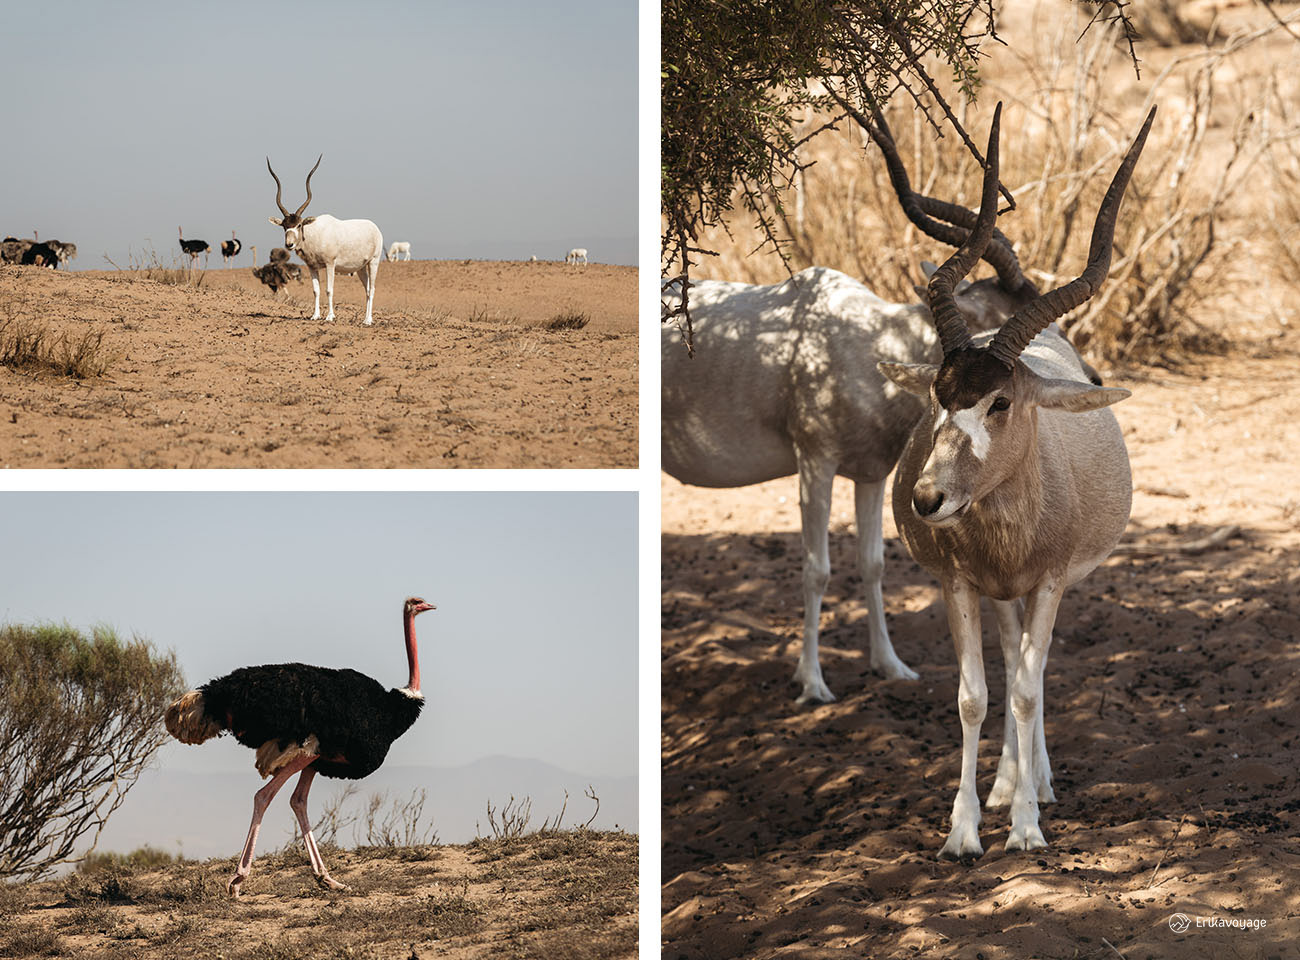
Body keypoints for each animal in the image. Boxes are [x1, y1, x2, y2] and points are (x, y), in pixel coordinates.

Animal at [265, 153, 382, 325]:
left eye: (299, 224)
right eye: (284, 226)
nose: (289, 244)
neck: (314, 235)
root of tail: (374, 228)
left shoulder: (330, 264)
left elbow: (329, 290)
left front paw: (330, 316)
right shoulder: (312, 266)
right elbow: (316, 290)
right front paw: (315, 315)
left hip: (373, 262)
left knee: (372, 289)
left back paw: (367, 321)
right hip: (360, 267)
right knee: (367, 288)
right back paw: (366, 318)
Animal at [665, 111, 1071, 702]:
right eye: (1016, 316)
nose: (1090, 377)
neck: (868, 339)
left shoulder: (871, 473)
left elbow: (873, 562)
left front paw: (890, 664)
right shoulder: (815, 462)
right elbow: (816, 568)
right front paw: (812, 682)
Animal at [878, 100, 1154, 858]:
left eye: (1000, 402)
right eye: (937, 395)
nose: (928, 498)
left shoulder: (1052, 580)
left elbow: (1030, 687)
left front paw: (1028, 828)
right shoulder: (961, 583)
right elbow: (975, 694)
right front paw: (965, 831)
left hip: (1039, 590)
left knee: (1034, 668)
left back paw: (1038, 785)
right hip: (1000, 594)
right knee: (1009, 657)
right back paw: (1007, 784)